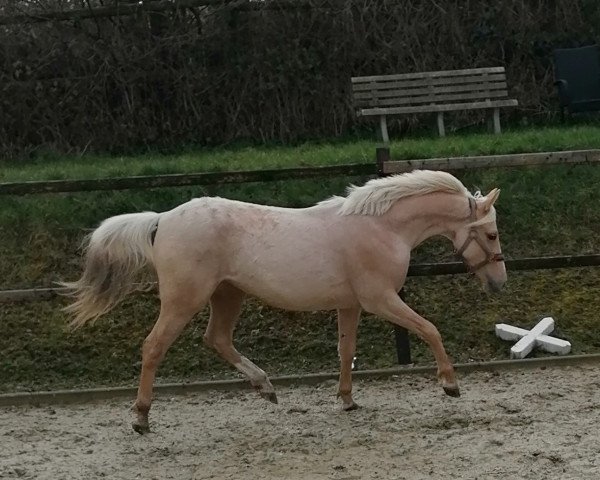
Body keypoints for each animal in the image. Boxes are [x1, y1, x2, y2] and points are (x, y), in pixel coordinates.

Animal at [62, 170, 506, 436]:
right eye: (492, 234)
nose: (499, 284)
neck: (381, 228)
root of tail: (161, 219)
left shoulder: (351, 304)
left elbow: (346, 350)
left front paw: (347, 400)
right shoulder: (380, 299)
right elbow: (430, 329)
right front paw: (450, 384)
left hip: (228, 294)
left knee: (217, 339)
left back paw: (266, 388)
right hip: (184, 300)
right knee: (154, 346)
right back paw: (141, 417)